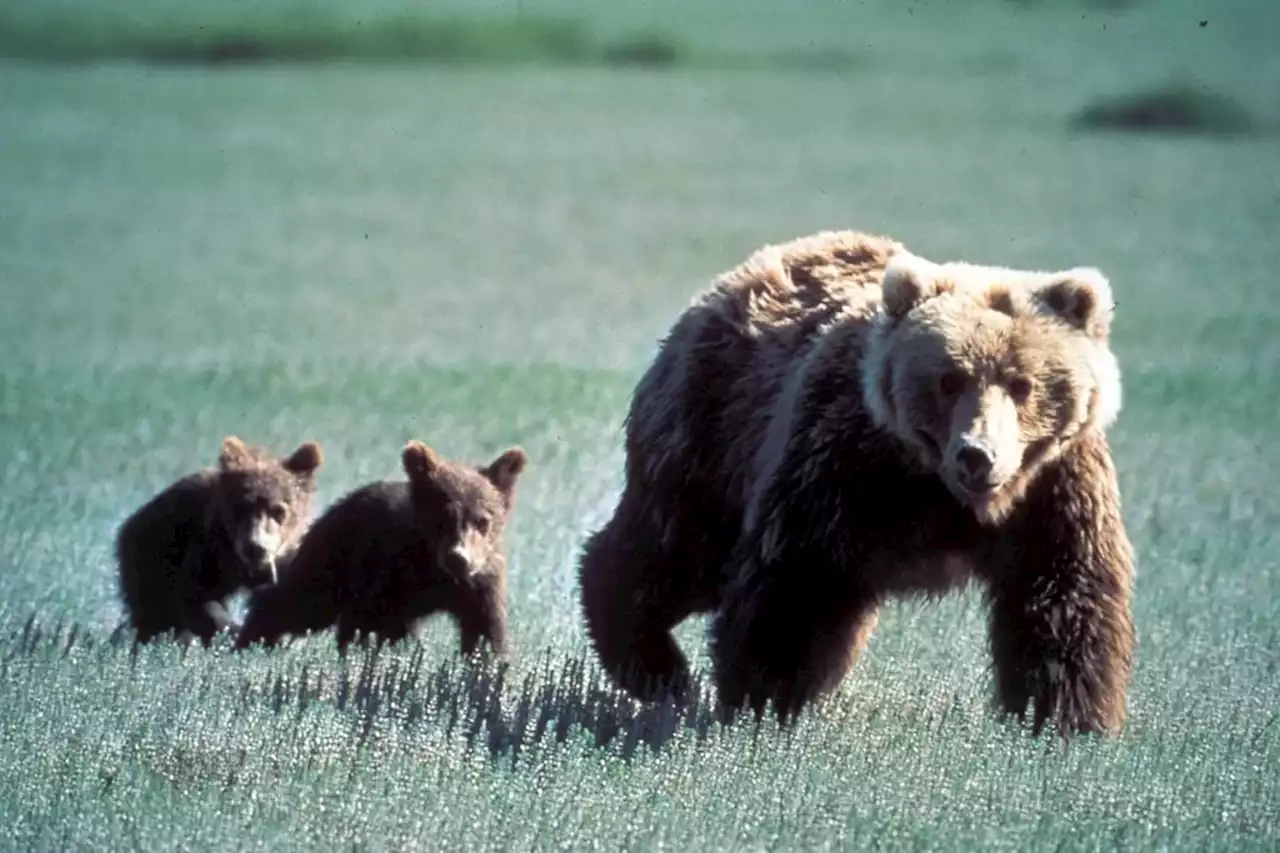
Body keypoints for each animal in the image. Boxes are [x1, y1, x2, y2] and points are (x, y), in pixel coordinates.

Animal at [116, 435, 325, 640]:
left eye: (278, 510)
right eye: (241, 507)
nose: (255, 547)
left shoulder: (290, 558)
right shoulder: (211, 549)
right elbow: (195, 595)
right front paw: (232, 631)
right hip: (151, 556)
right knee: (155, 614)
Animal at [232, 435, 527, 653]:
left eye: (483, 520)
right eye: (442, 517)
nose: (459, 557)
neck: (435, 572)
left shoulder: (481, 583)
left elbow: (485, 631)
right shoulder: (389, 572)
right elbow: (371, 623)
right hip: (334, 555)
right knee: (302, 600)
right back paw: (250, 639)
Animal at [576, 229, 1136, 732]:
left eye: (1023, 384)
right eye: (949, 379)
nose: (978, 455)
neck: (947, 498)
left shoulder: (1055, 489)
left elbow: (1061, 598)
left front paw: (1064, 721)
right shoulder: (843, 464)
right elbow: (799, 578)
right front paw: (762, 700)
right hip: (713, 434)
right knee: (671, 550)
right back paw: (656, 669)